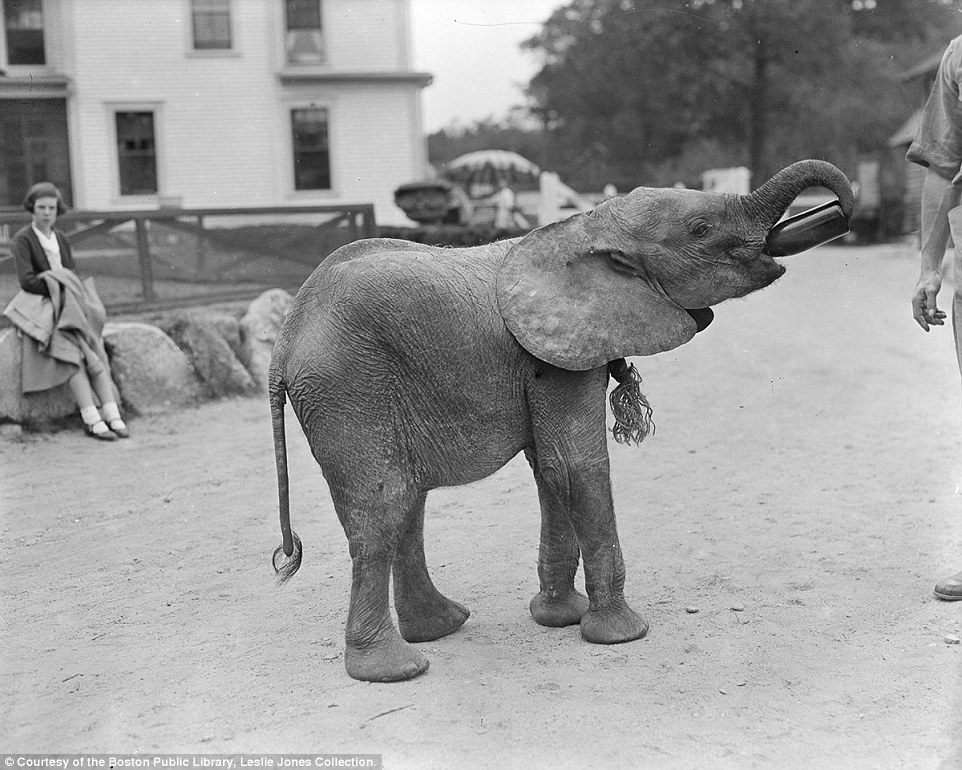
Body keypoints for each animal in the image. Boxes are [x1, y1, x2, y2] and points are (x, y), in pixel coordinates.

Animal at [268, 159, 848, 680]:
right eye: (700, 229)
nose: (839, 211)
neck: (588, 226)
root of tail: (284, 341)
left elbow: (549, 471)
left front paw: (558, 619)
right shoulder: (558, 353)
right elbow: (575, 466)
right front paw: (622, 635)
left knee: (409, 501)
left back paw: (442, 626)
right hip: (348, 388)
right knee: (382, 507)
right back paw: (394, 669)